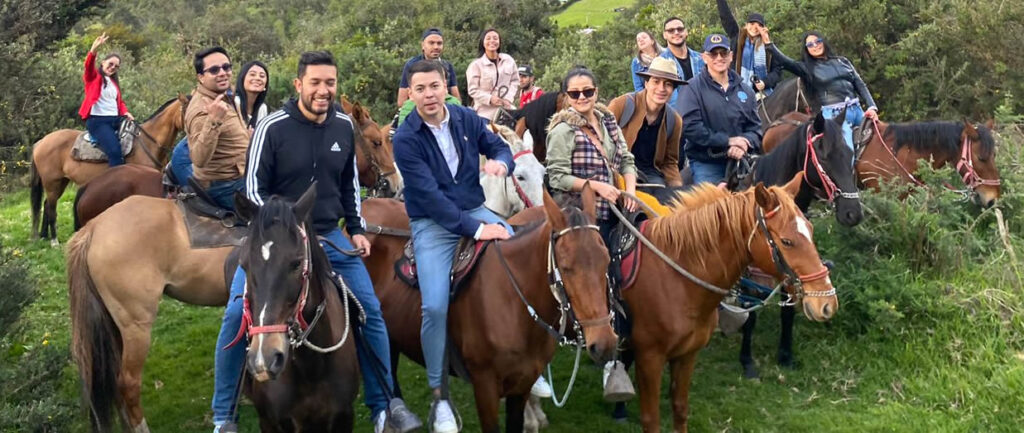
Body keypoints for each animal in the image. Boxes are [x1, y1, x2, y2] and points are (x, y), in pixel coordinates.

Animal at [30, 95, 188, 242]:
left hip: (61, 181)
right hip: (52, 182)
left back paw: (44, 236)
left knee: (47, 204)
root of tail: (40, 142)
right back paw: (54, 240)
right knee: (51, 208)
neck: (148, 142)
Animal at [232, 187, 360, 433]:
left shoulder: (344, 416)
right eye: (243, 265)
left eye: (297, 263)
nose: (264, 359)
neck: (312, 368)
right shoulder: (270, 422)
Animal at [360, 187, 614, 433]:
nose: (604, 344)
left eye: (606, 259)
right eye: (567, 266)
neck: (513, 305)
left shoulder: (523, 384)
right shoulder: (485, 387)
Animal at [618, 175, 835, 431]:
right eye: (787, 241)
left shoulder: (687, 354)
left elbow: (680, 408)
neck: (674, 276)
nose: (827, 304)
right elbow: (651, 419)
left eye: (810, 229)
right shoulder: (649, 358)